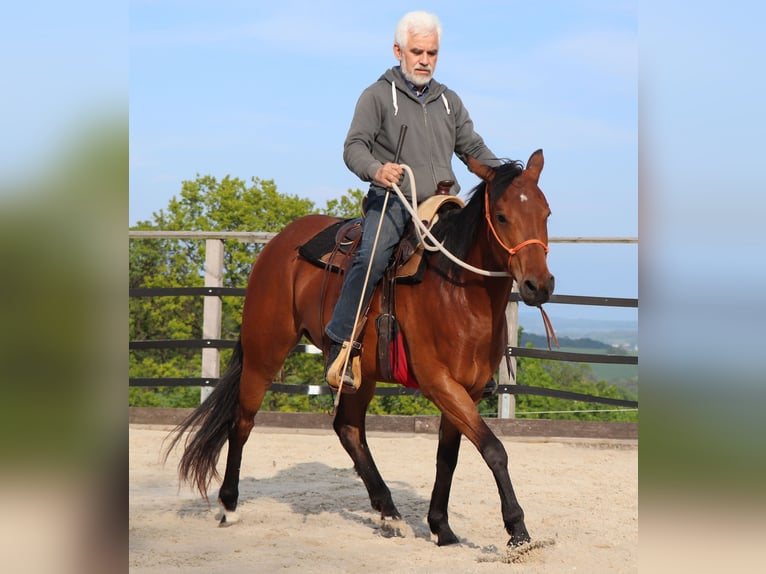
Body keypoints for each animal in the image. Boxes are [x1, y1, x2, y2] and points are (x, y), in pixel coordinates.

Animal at [166, 149, 554, 548]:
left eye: (546, 214)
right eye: (502, 216)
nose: (539, 284)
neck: (456, 290)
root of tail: (279, 243)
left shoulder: (468, 390)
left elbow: (449, 456)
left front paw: (441, 528)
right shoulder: (440, 383)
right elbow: (494, 450)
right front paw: (518, 531)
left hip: (359, 370)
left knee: (348, 428)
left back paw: (389, 512)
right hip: (264, 353)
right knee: (242, 422)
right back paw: (229, 505)